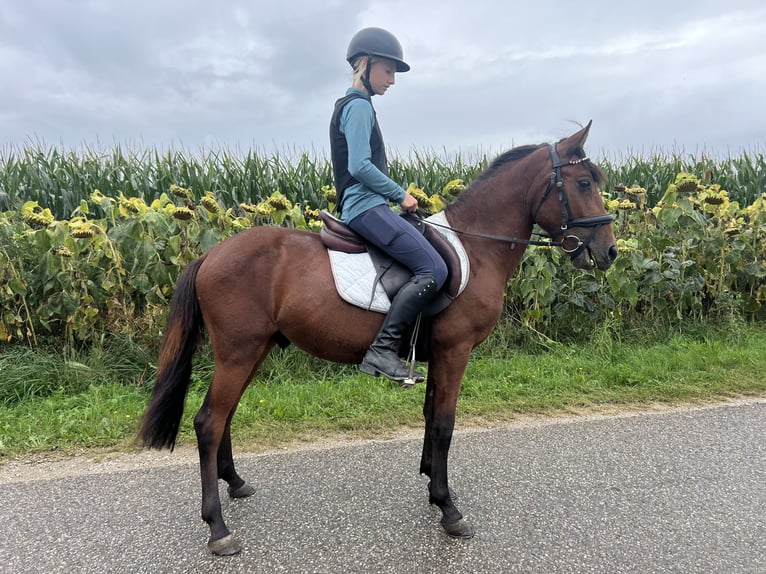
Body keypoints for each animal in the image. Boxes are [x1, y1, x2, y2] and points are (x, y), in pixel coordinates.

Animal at [139, 122, 618, 555]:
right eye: (582, 183)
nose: (610, 251)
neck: (476, 246)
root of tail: (210, 254)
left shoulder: (437, 354)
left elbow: (430, 415)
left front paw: (432, 484)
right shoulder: (455, 351)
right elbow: (444, 424)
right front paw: (449, 509)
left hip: (252, 351)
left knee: (225, 416)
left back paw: (235, 483)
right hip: (238, 352)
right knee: (209, 422)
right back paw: (218, 529)